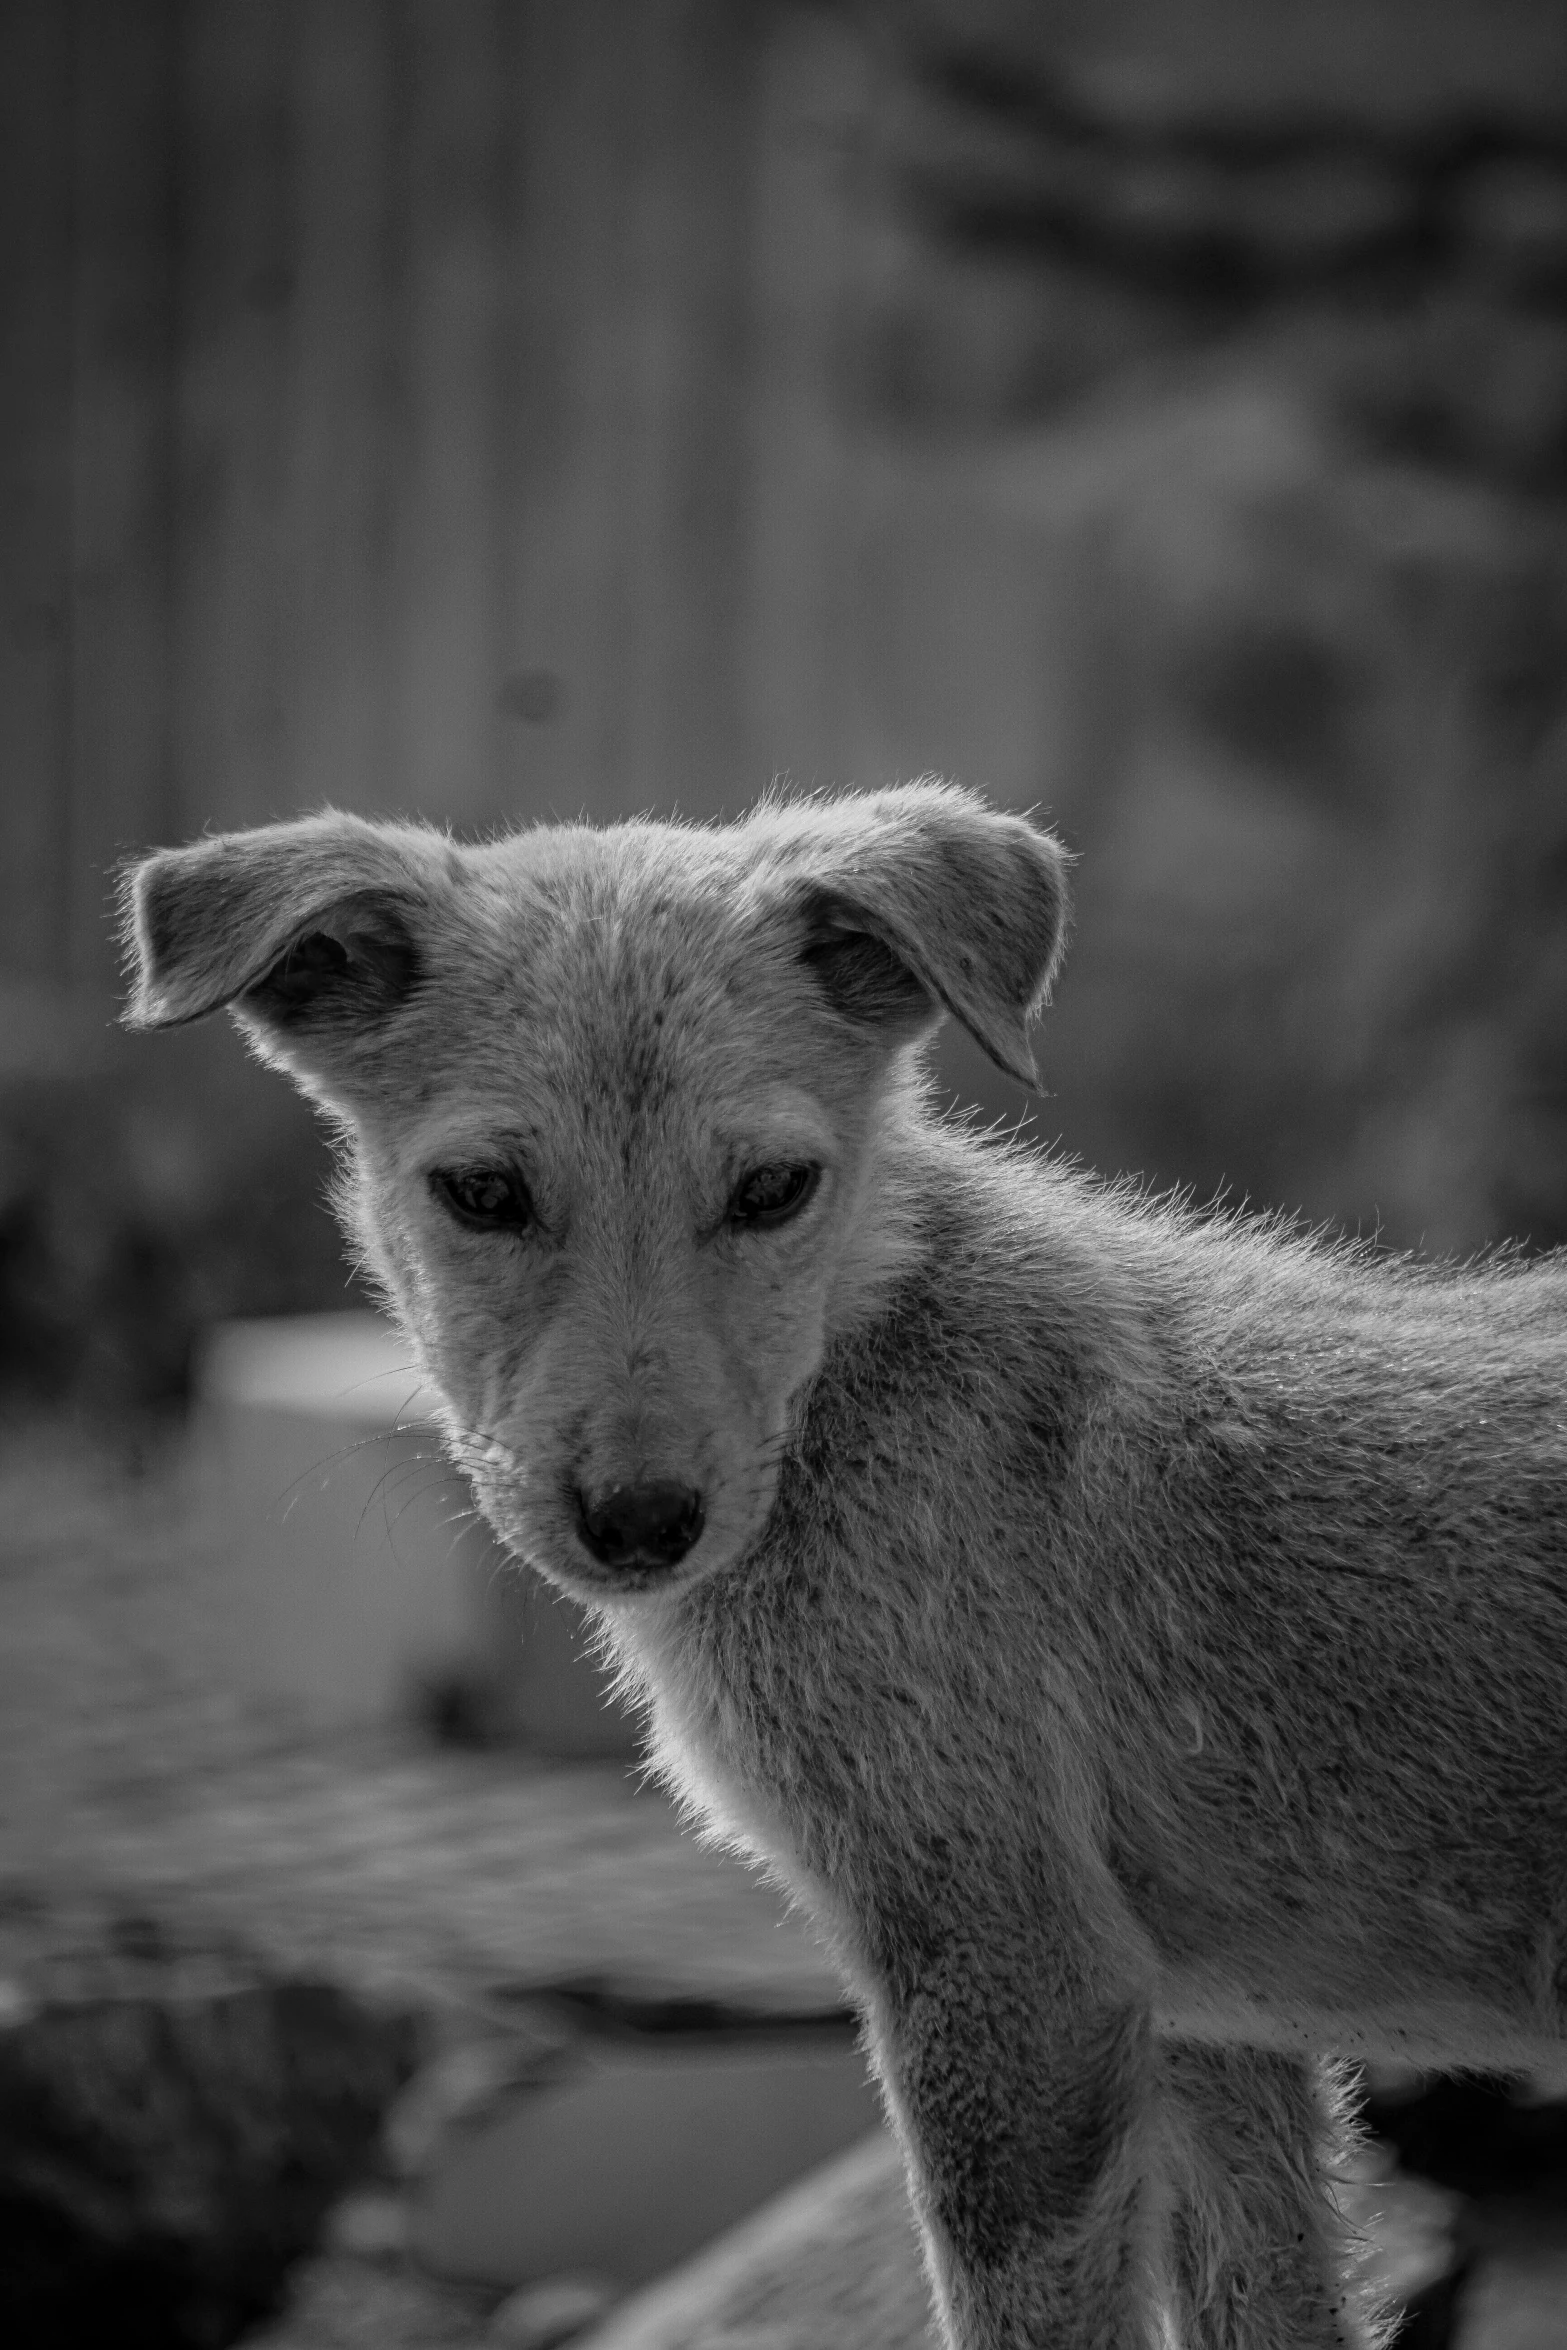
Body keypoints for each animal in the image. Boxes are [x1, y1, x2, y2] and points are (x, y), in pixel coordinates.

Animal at [122, 789, 1567, 2350]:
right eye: (482, 1192)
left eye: (770, 1188)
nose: (642, 1520)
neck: (862, 1352)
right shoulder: (1200, 2020)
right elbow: (1266, 2297)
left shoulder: (1011, 1970)